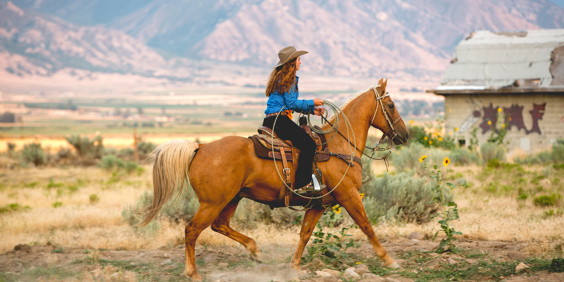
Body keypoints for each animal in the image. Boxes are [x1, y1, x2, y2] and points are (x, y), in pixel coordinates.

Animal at [140, 79, 406, 280]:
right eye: (391, 105)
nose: (404, 134)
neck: (340, 146)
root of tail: (201, 147)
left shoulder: (318, 204)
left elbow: (305, 234)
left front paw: (294, 267)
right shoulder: (349, 195)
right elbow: (367, 226)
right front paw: (389, 260)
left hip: (231, 199)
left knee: (220, 225)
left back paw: (255, 251)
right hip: (212, 203)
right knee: (192, 230)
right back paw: (193, 273)